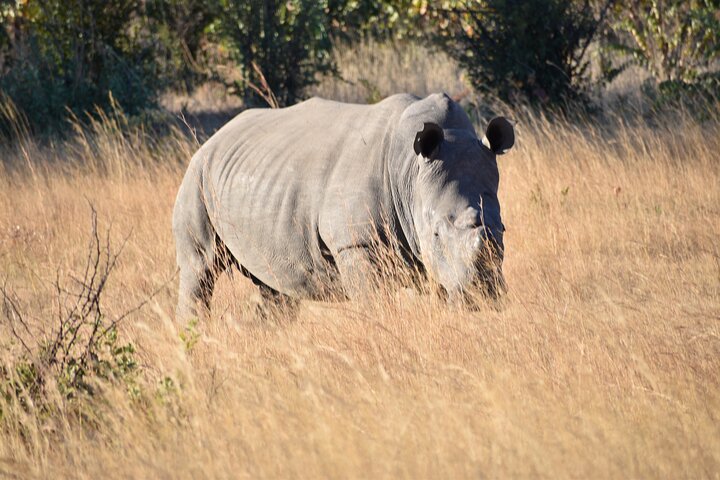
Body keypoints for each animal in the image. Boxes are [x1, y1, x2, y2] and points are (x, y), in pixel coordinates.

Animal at [172, 93, 514, 319]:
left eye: (502, 231)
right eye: (436, 234)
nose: (481, 295)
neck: (410, 172)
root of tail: (213, 137)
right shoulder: (357, 242)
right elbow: (375, 303)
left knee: (274, 288)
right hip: (197, 177)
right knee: (199, 268)